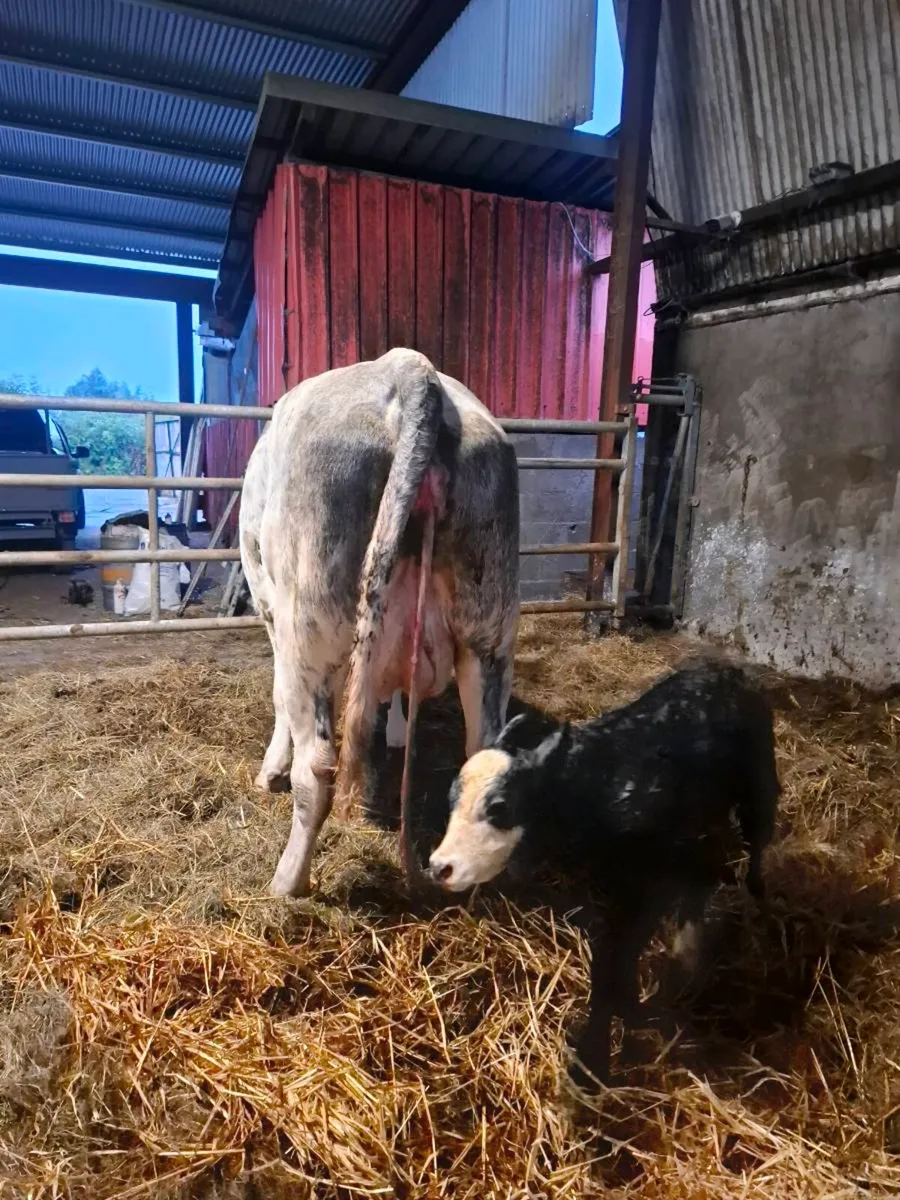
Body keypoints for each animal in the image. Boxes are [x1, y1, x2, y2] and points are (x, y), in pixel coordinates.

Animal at [239, 349, 520, 898]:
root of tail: (409, 368)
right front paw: (393, 733)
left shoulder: (270, 609)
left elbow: (278, 696)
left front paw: (270, 770)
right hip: (488, 628)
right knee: (484, 748)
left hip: (310, 623)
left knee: (317, 769)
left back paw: (285, 883)